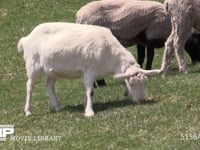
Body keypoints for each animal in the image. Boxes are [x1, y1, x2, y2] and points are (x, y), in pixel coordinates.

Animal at [17, 22, 161, 117]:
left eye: (145, 83)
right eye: (131, 83)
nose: (141, 100)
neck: (109, 53)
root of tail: (26, 38)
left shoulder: (93, 74)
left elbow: (89, 91)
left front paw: (85, 104)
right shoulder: (89, 71)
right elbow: (90, 92)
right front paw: (89, 112)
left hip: (52, 70)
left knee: (49, 87)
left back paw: (58, 107)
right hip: (33, 66)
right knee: (29, 86)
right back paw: (28, 111)